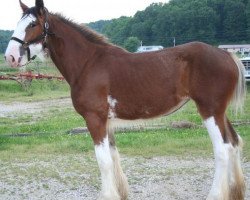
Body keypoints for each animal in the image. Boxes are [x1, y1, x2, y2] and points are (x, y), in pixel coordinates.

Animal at [4, 0, 246, 199]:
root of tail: (227, 54)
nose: (10, 57)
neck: (88, 63)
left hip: (210, 111)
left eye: (32, 24)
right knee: (234, 142)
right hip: (220, 112)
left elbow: (103, 161)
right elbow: (113, 157)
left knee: (222, 149)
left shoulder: (94, 119)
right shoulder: (107, 121)